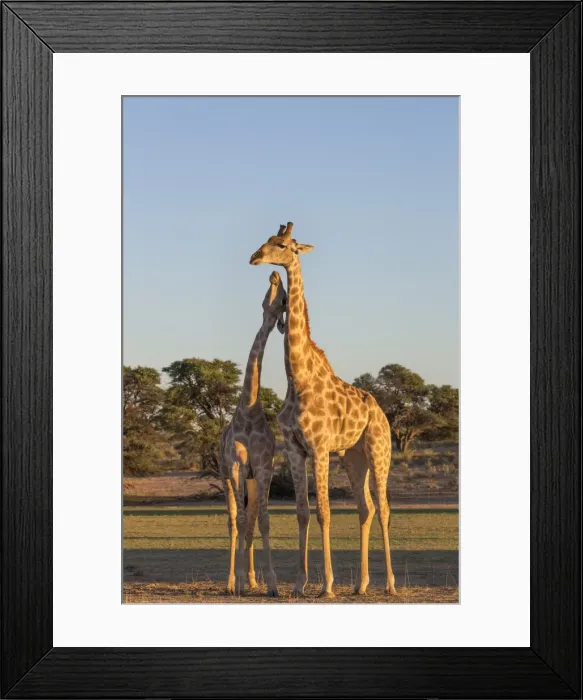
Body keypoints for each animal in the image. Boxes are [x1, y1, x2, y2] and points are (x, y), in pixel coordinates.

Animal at [249, 222, 397, 598]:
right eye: (266, 241)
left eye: (283, 245)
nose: (255, 257)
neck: (297, 378)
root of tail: (381, 412)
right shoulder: (294, 449)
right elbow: (302, 512)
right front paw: (299, 583)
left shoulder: (318, 447)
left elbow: (324, 512)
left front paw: (327, 585)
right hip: (353, 456)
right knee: (365, 508)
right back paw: (361, 584)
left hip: (379, 450)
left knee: (384, 507)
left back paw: (389, 584)